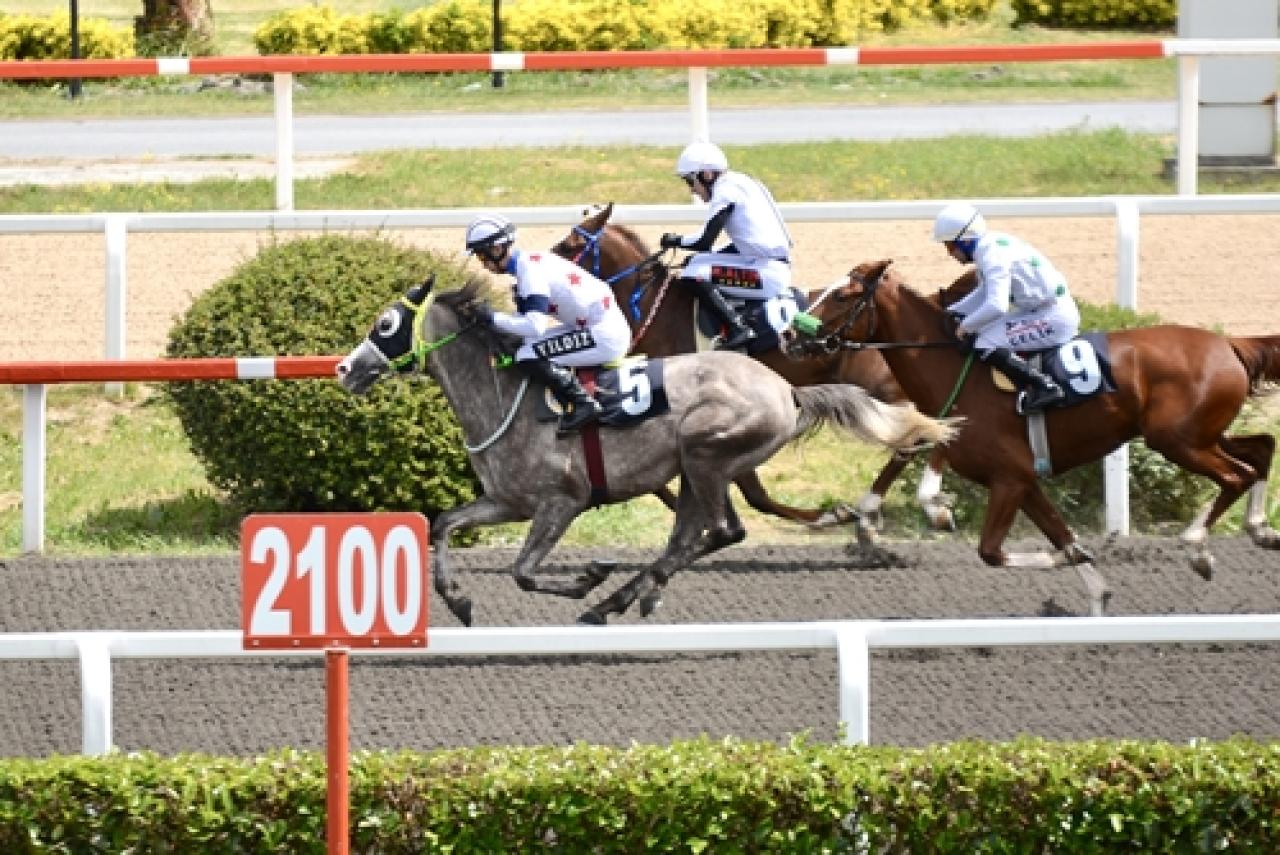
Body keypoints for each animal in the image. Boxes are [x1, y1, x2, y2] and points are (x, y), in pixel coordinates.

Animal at [335, 277, 957, 624]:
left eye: (385, 323)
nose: (344, 368)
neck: (507, 396)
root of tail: (786, 389)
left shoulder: (562, 502)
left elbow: (523, 571)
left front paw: (587, 576)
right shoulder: (508, 502)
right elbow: (443, 525)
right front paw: (458, 601)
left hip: (705, 456)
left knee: (716, 532)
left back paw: (609, 600)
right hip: (698, 469)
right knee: (700, 537)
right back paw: (626, 598)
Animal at [555, 203, 957, 537]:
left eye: (569, 244)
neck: (659, 309)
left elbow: (749, 490)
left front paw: (828, 515)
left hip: (884, 388)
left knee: (926, 430)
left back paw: (904, 504)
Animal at [783, 258, 1280, 614]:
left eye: (842, 296)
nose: (788, 335)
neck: (955, 370)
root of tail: (1228, 343)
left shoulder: (1008, 478)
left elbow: (992, 551)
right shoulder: (1025, 481)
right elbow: (1063, 536)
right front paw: (1092, 588)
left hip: (1178, 440)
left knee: (1235, 475)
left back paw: (1198, 549)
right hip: (1199, 434)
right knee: (1260, 450)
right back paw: (1260, 529)